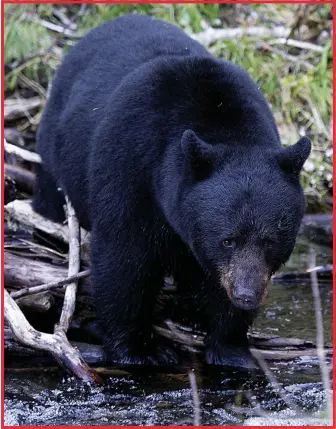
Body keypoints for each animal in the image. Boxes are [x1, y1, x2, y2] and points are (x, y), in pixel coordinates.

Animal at [32, 14, 312, 364]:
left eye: (270, 241)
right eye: (228, 240)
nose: (246, 295)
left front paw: (230, 347)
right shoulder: (130, 165)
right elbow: (124, 257)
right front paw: (139, 348)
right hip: (55, 150)